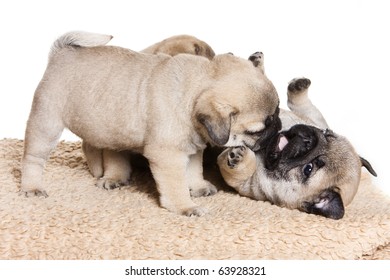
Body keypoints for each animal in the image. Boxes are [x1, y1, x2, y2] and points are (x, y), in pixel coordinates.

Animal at [20, 32, 280, 217]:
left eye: (277, 112)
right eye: (257, 131)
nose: (277, 129)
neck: (191, 92)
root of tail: (61, 54)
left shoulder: (192, 149)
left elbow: (193, 172)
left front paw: (197, 187)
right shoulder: (167, 156)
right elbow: (175, 184)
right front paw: (185, 207)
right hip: (47, 123)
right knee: (33, 158)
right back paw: (32, 187)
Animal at [218, 52, 376, 219]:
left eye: (308, 169)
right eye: (327, 133)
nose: (308, 140)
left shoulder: (247, 185)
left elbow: (241, 171)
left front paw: (238, 158)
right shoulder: (313, 119)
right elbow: (308, 108)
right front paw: (298, 85)